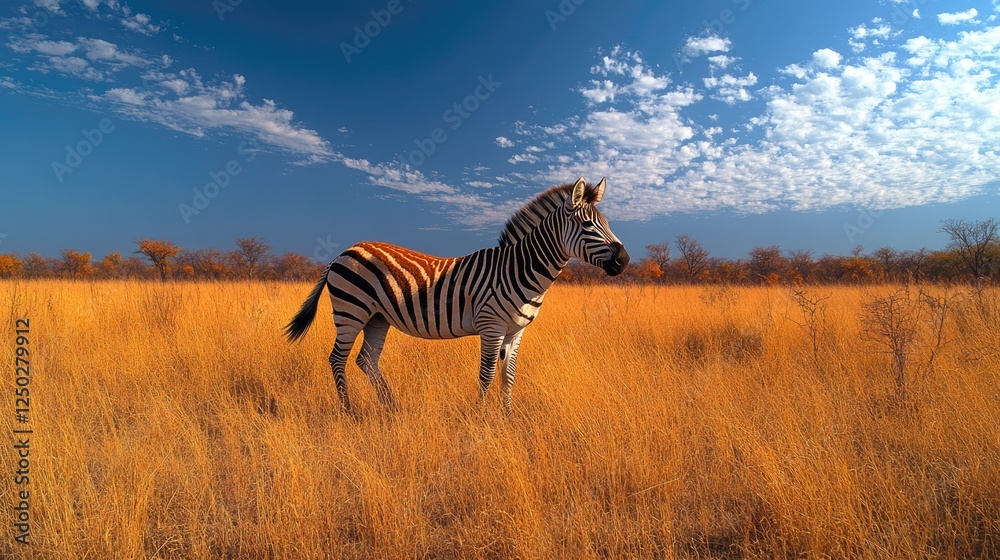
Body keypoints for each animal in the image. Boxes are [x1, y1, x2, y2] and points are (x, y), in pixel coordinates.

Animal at [285, 177, 629, 416]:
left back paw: (392, 408)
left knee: (366, 360)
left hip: (377, 317)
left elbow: (509, 375)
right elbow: (487, 374)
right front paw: (480, 417)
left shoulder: (515, 332)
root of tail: (342, 252)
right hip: (351, 310)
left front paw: (508, 417)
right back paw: (349, 412)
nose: (624, 261)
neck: (518, 269)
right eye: (587, 225)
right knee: (337, 359)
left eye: (607, 224)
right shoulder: (491, 326)